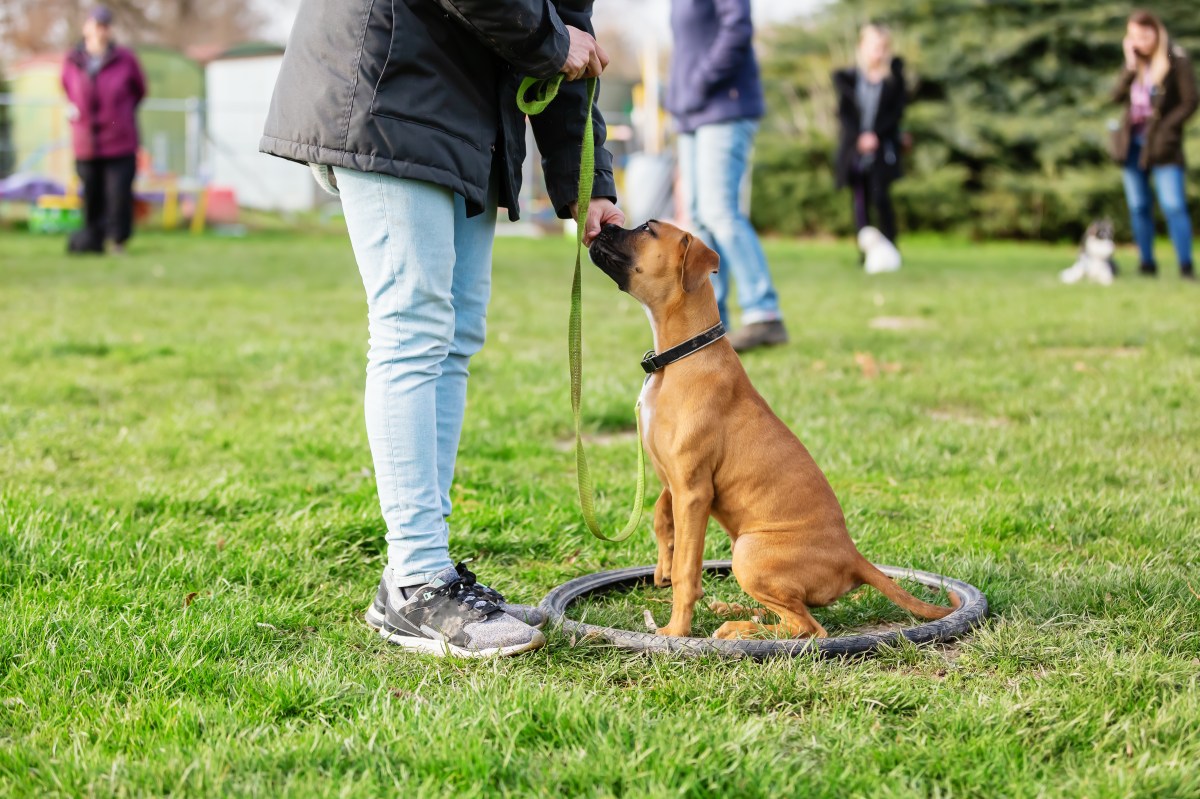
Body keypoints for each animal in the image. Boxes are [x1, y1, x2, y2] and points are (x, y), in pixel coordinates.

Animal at [583, 220, 955, 638]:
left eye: (647, 228)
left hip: (749, 552)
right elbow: (662, 518)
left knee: (807, 628)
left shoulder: (693, 491)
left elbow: (687, 571)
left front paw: (675, 632)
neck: (682, 355)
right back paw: (737, 612)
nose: (603, 225)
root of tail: (854, 557)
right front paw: (662, 565)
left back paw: (737, 628)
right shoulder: (672, 477)